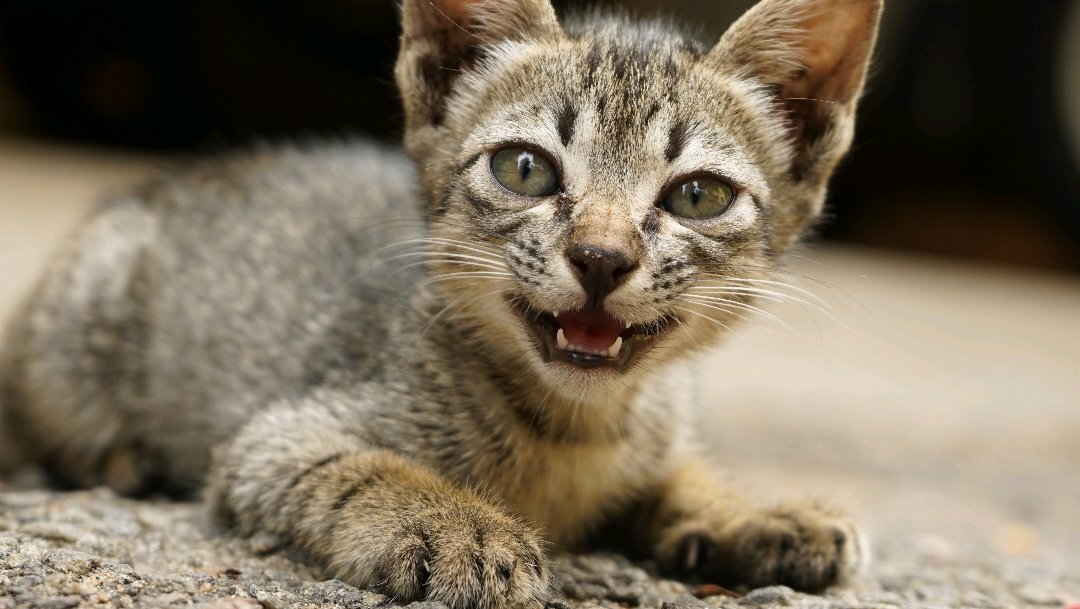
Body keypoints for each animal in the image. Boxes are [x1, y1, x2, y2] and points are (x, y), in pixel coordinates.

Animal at [0, 0, 881, 604]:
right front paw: (458, 523)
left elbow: (684, 474)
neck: (578, 431)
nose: (601, 258)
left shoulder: (655, 436)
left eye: (699, 195)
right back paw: (121, 458)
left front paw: (753, 513)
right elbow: (360, 470)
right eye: (525, 168)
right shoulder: (273, 440)